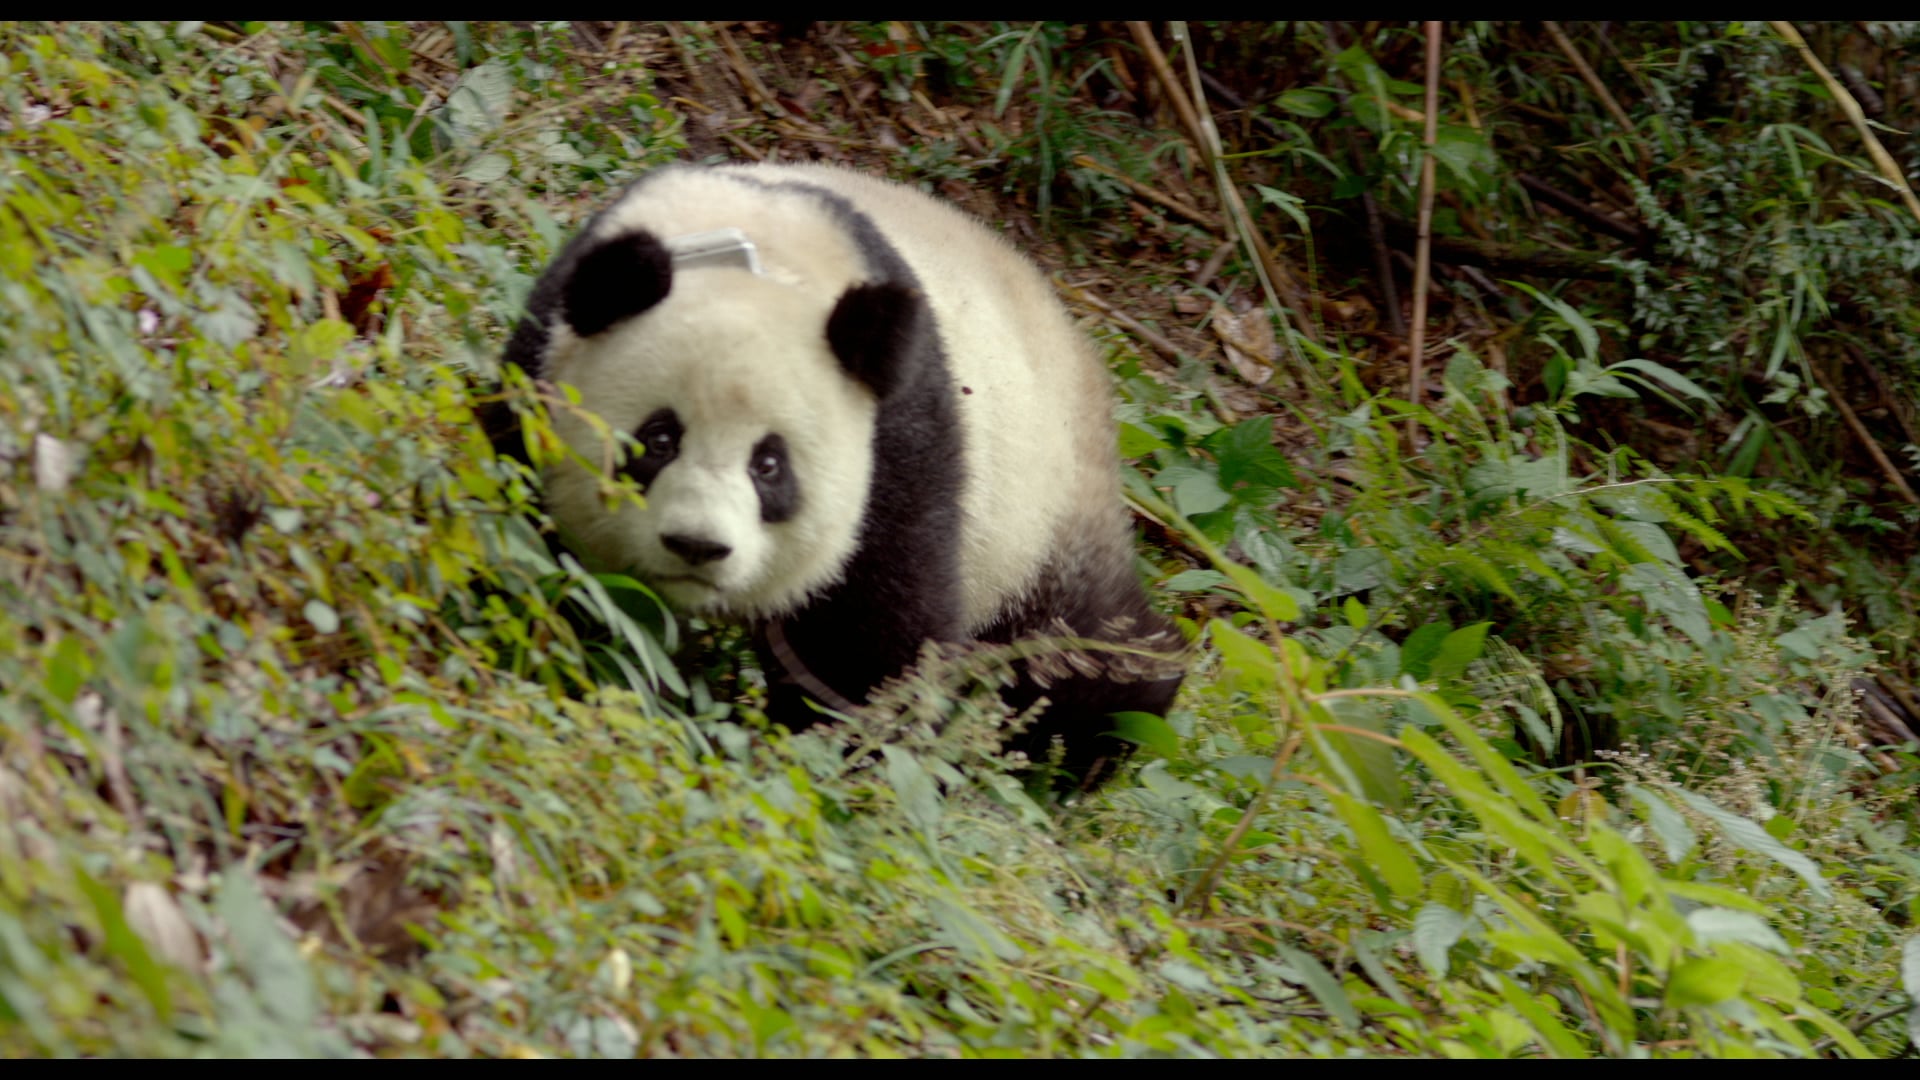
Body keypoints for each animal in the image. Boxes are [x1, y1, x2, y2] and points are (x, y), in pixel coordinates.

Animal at [493, 161, 1184, 787]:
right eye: (658, 440)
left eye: (770, 466)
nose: (697, 546)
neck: (746, 257)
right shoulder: (542, 352)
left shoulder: (898, 440)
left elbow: (872, 646)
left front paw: (844, 762)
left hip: (1038, 501)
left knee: (1074, 645)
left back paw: (1090, 740)